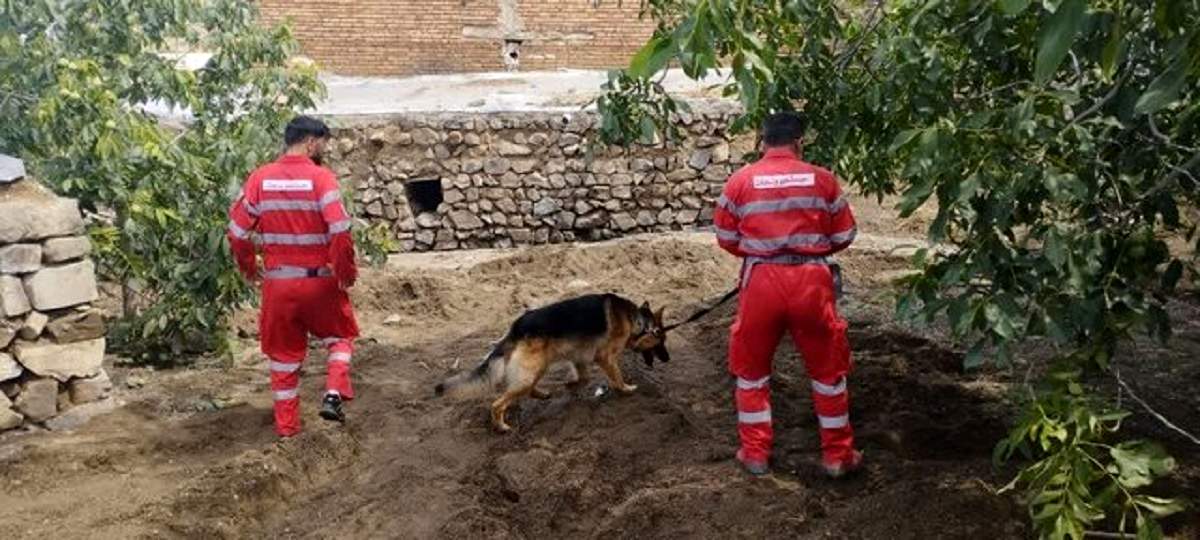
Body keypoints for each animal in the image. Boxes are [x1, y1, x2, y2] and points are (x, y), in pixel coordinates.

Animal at [436, 292, 672, 432]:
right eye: (661, 341)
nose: (668, 359)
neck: (637, 319)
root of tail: (515, 328)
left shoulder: (579, 357)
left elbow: (583, 378)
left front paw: (571, 385)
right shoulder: (605, 357)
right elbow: (617, 376)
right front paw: (626, 389)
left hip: (538, 367)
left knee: (528, 388)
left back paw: (542, 394)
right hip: (532, 370)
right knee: (498, 403)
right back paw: (501, 426)